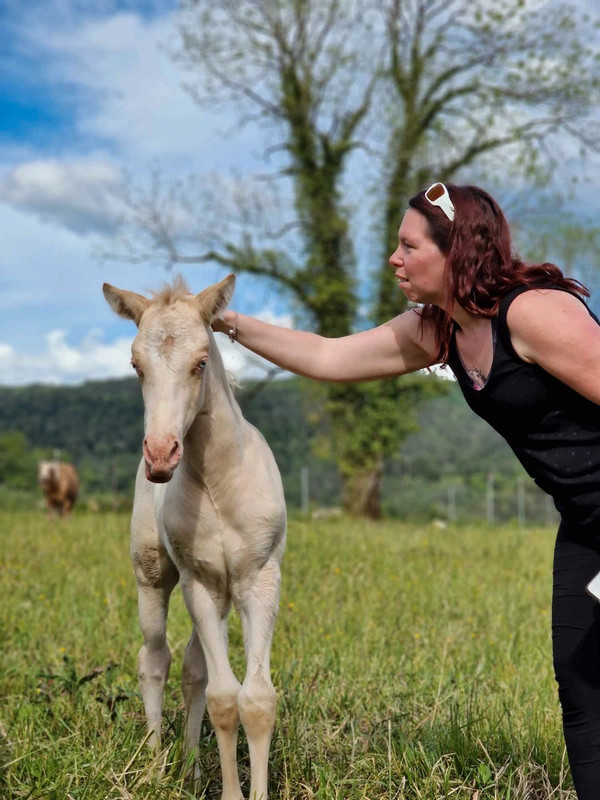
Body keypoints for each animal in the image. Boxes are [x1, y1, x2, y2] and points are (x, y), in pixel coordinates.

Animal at [103, 276, 286, 800]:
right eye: (135, 365)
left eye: (201, 361)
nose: (161, 455)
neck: (218, 485)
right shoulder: (198, 583)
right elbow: (225, 698)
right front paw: (231, 793)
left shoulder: (257, 580)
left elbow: (255, 698)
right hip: (155, 575)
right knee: (155, 659)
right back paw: (154, 766)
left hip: (221, 593)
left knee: (191, 670)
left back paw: (190, 769)